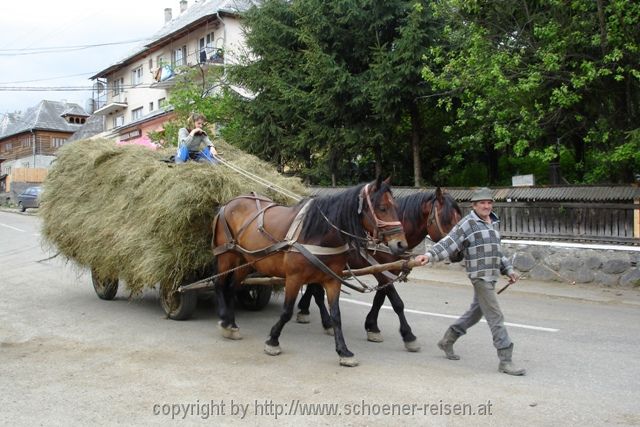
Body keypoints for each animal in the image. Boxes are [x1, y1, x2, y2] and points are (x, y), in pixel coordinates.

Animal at [212, 177, 408, 368]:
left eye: (396, 207)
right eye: (382, 208)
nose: (401, 245)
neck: (318, 233)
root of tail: (230, 202)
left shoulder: (332, 280)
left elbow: (336, 315)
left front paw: (343, 351)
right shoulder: (294, 278)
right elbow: (287, 311)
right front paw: (273, 341)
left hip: (245, 261)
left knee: (232, 288)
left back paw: (232, 324)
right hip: (226, 256)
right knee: (219, 284)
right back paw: (224, 319)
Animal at [296, 189, 460, 352]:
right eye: (447, 220)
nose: (459, 252)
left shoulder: (387, 270)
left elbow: (379, 299)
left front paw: (372, 327)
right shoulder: (381, 273)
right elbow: (397, 303)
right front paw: (409, 336)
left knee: (313, 288)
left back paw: (305, 309)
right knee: (317, 291)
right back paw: (325, 321)